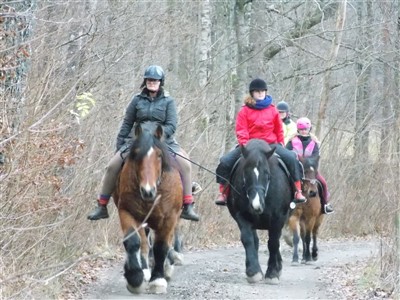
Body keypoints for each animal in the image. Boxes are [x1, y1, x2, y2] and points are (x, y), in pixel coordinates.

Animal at [111, 123, 182, 294]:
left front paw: (157, 280)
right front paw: (135, 277)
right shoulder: (127, 212)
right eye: (135, 154)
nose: (147, 191)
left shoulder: (170, 217)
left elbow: (161, 247)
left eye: (159, 155)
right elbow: (134, 241)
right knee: (144, 243)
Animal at [228, 139, 290, 284]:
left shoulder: (278, 218)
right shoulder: (242, 216)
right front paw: (253, 272)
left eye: (267, 173)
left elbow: (273, 243)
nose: (256, 204)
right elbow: (248, 240)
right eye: (245, 172)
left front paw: (272, 273)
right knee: (255, 241)